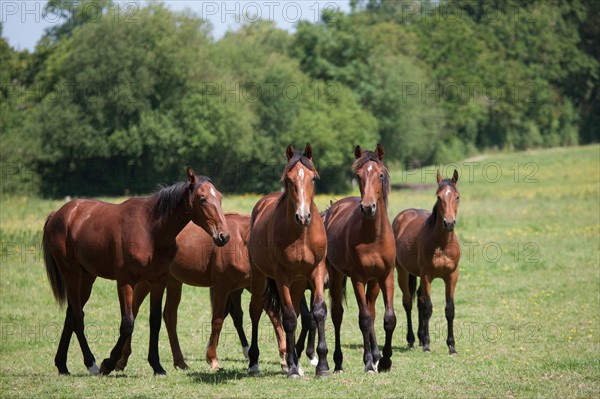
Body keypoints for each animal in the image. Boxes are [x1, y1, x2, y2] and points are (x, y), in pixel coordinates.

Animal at [42, 167, 230, 376]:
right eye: (202, 198)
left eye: (219, 197)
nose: (223, 236)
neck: (151, 231)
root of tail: (58, 214)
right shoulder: (125, 281)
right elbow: (127, 323)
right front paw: (109, 363)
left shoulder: (158, 280)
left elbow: (155, 321)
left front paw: (157, 366)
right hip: (71, 274)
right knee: (77, 317)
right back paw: (91, 364)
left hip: (87, 277)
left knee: (71, 315)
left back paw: (62, 365)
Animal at [118, 214, 288, 374]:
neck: (241, 240)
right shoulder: (222, 287)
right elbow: (217, 320)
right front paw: (212, 360)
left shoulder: (253, 287)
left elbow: (273, 315)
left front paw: (284, 358)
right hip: (148, 282)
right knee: (134, 310)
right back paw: (122, 360)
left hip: (173, 282)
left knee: (170, 316)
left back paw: (180, 362)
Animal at [247, 143, 330, 378]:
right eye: (289, 179)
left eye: (313, 178)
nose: (303, 216)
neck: (301, 234)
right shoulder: (281, 276)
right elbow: (290, 318)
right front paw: (292, 368)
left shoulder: (317, 271)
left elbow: (317, 312)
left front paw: (322, 365)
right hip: (260, 278)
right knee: (256, 310)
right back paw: (255, 362)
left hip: (299, 282)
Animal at [324, 145, 398, 376]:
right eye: (358, 176)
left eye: (380, 175)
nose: (368, 207)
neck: (373, 237)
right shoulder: (357, 278)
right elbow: (363, 319)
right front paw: (367, 362)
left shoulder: (385, 277)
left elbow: (388, 318)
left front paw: (384, 360)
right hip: (337, 275)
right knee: (338, 315)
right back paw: (338, 363)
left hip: (373, 282)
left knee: (372, 311)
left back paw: (376, 356)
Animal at [394, 169, 460, 354]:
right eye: (439, 196)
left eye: (457, 196)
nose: (449, 223)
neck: (441, 244)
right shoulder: (427, 276)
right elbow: (429, 309)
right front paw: (427, 345)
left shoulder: (452, 276)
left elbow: (449, 309)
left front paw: (452, 346)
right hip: (402, 272)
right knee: (408, 302)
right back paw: (412, 339)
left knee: (419, 300)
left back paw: (421, 337)